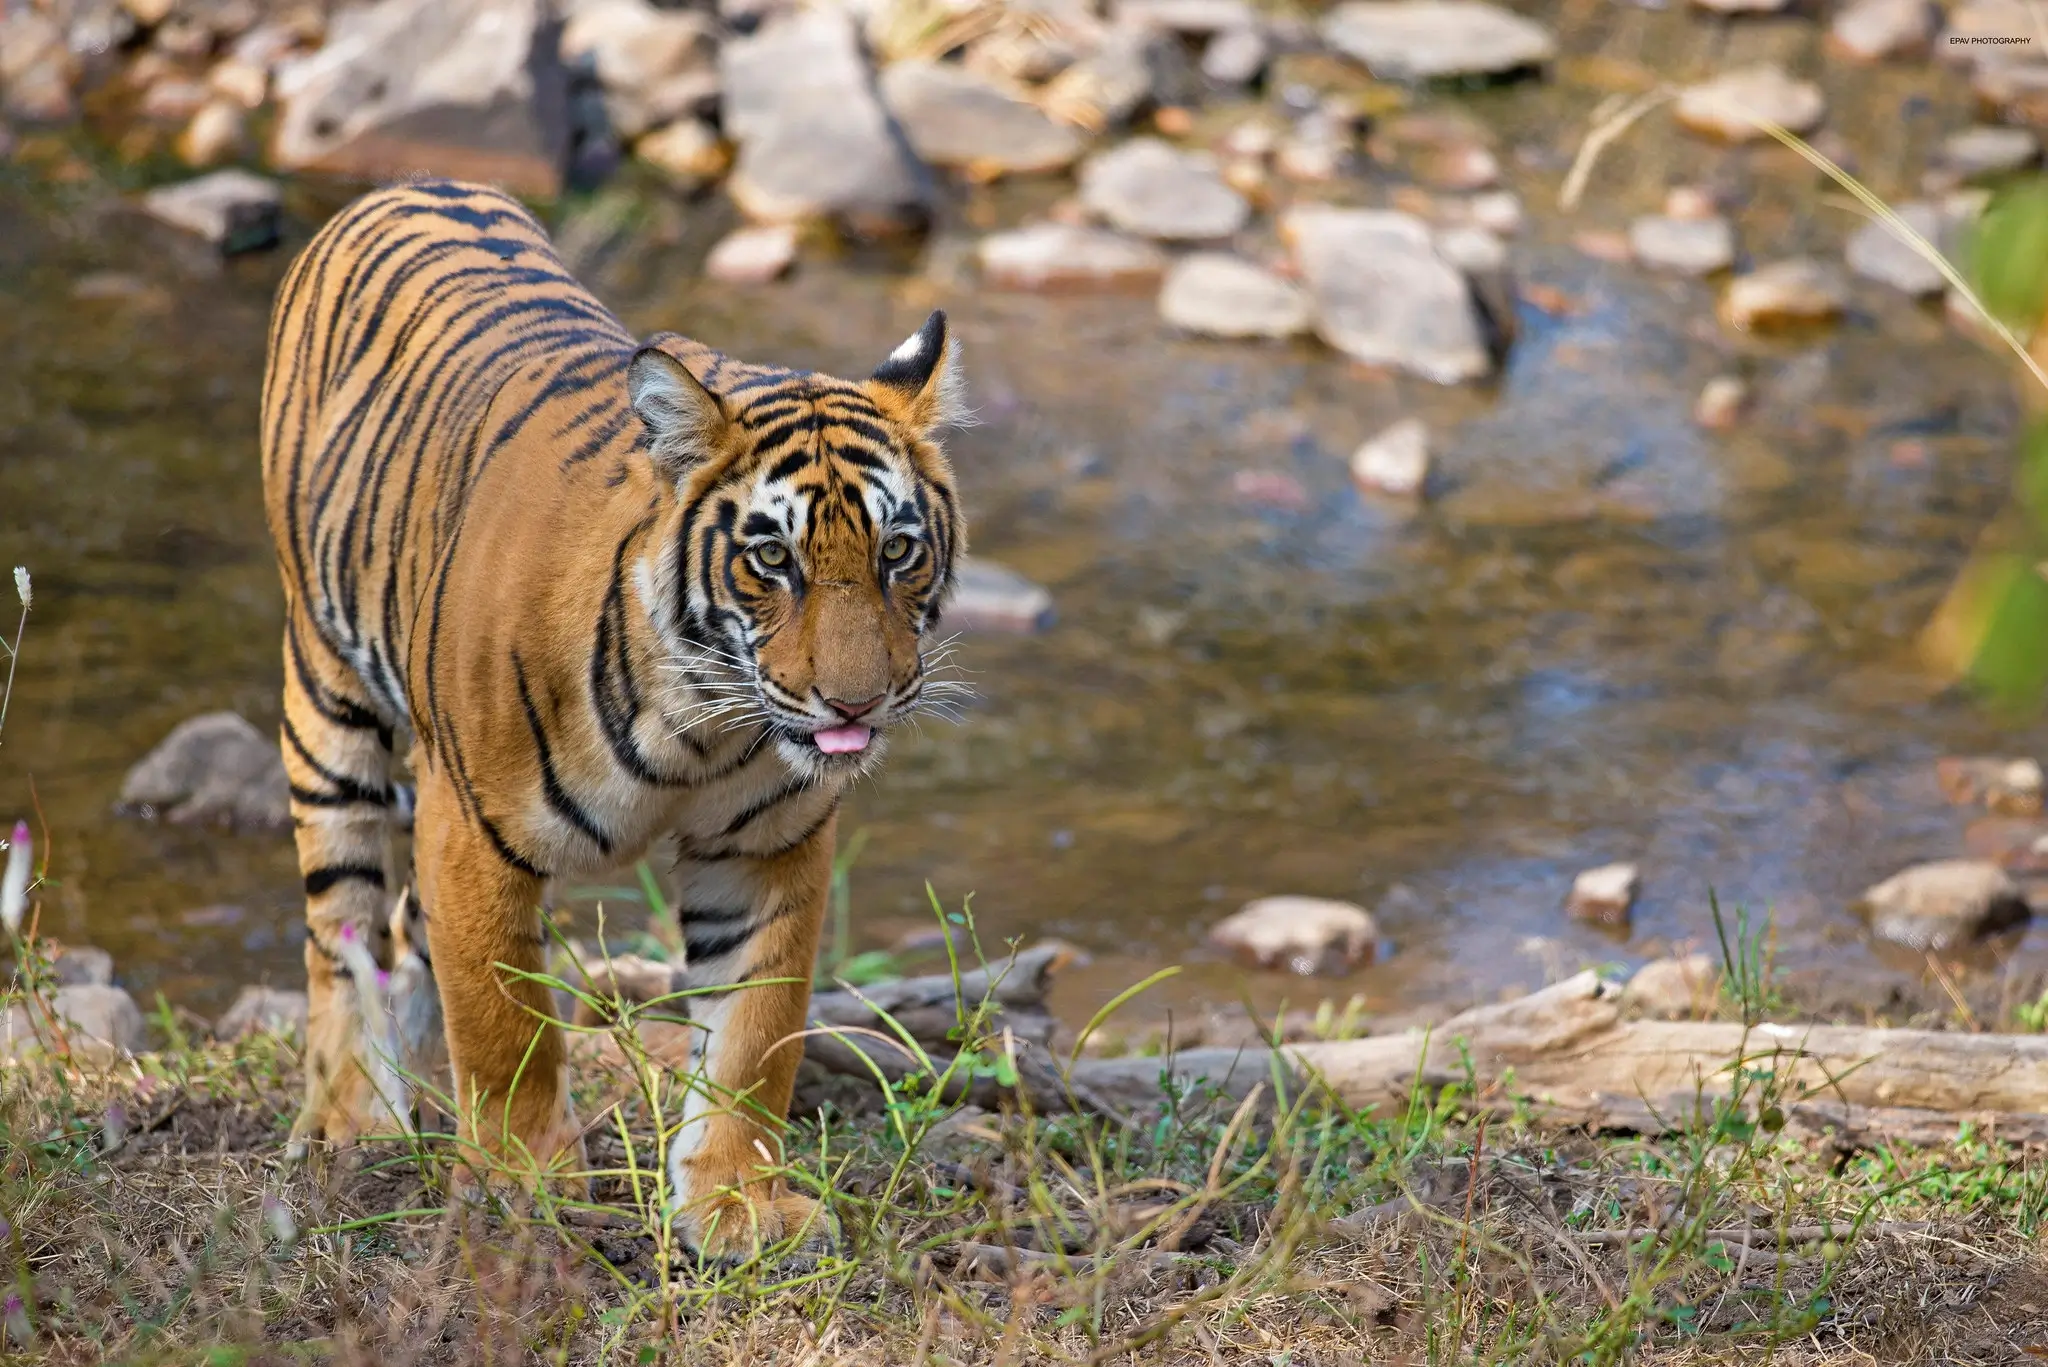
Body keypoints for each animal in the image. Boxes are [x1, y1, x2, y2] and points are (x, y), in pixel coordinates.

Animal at [258, 177, 968, 1257]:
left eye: (897, 549)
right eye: (773, 559)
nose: (858, 699)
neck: (701, 726)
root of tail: (415, 184)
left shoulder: (768, 851)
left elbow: (755, 1034)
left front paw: (736, 1200)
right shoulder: (471, 833)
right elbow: (504, 1025)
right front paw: (521, 1183)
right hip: (327, 690)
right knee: (339, 922)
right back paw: (352, 1119)